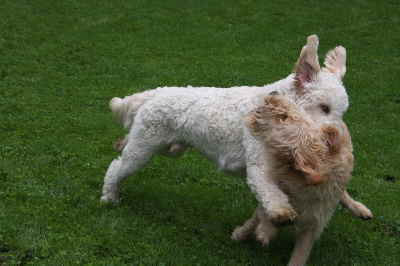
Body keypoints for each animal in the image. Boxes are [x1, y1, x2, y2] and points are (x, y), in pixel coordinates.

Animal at [101, 35, 372, 224]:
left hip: (169, 148)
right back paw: (109, 196)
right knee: (116, 167)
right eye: (324, 108)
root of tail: (155, 92)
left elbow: (338, 188)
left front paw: (357, 206)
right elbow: (269, 191)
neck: (278, 112)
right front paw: (281, 213)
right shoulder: (259, 166)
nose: (337, 141)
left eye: (342, 112)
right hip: (143, 149)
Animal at [233, 95, 358, 266]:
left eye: (284, 117)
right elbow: (266, 210)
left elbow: (299, 256)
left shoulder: (313, 225)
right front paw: (262, 231)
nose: (272, 94)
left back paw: (362, 210)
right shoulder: (276, 185)